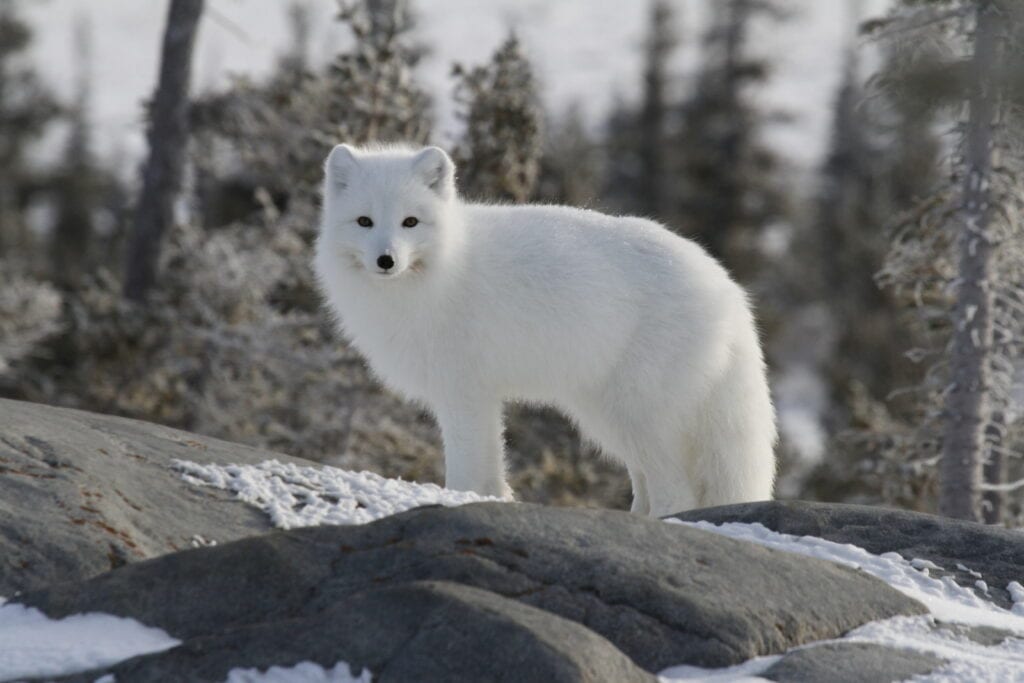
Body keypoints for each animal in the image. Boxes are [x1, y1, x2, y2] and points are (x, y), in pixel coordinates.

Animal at [313, 145, 774, 518]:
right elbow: (490, 469)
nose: (386, 260)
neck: (444, 269)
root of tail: (726, 286)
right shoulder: (476, 396)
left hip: (639, 411)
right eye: (364, 221)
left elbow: (465, 468)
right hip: (607, 414)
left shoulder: (464, 392)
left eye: (410, 222)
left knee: (677, 491)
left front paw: (459, 500)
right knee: (646, 480)